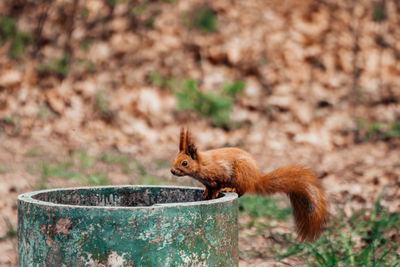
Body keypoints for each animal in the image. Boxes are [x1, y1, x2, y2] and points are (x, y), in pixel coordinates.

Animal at [170, 129, 328, 242]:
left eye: (184, 163)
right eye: (174, 159)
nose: (172, 171)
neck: (202, 165)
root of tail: (255, 179)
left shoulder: (220, 172)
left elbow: (219, 184)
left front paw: (215, 193)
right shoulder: (208, 182)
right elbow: (209, 187)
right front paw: (206, 193)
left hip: (241, 172)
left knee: (241, 190)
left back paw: (229, 188)